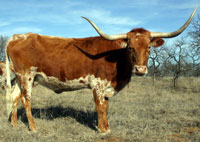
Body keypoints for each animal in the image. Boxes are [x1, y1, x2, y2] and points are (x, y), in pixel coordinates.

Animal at [5, 7, 197, 133]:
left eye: (149, 47)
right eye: (130, 48)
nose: (140, 69)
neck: (117, 57)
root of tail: (15, 37)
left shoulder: (107, 87)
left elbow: (106, 106)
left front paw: (107, 128)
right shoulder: (98, 85)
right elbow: (101, 107)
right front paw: (103, 130)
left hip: (21, 77)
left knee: (15, 96)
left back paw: (14, 124)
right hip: (26, 75)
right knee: (26, 99)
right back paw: (33, 128)